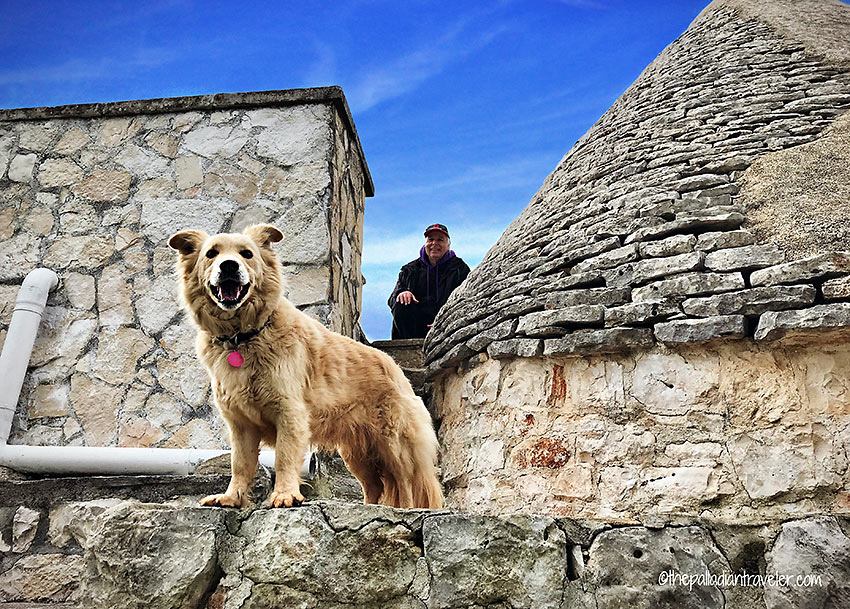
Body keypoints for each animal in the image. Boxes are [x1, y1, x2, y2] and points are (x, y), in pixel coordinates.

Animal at [168, 223, 440, 508]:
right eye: (211, 254)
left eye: (247, 254)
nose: (229, 266)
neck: (242, 337)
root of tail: (395, 367)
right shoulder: (241, 424)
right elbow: (239, 465)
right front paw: (232, 497)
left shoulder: (290, 414)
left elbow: (284, 458)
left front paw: (285, 495)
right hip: (358, 452)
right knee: (374, 485)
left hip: (393, 444)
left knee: (405, 483)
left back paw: (406, 508)